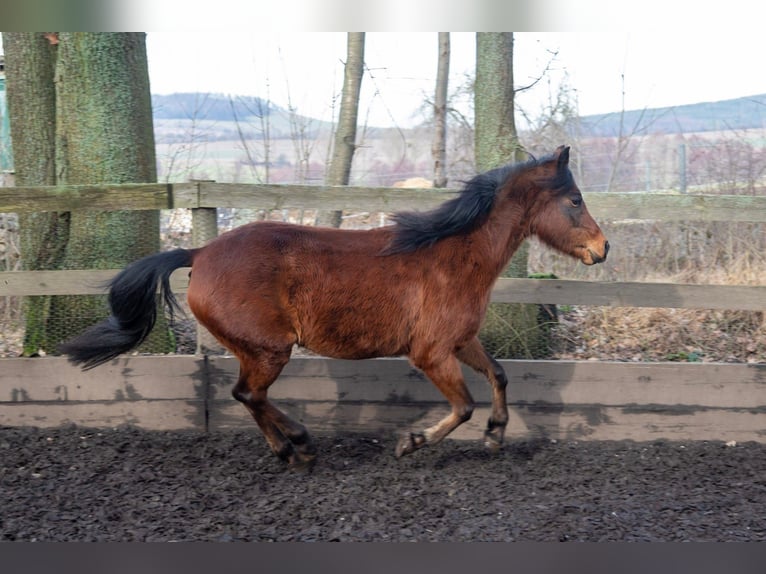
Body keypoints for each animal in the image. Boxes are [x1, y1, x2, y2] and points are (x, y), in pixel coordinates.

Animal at [60, 146, 612, 470]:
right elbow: (462, 406)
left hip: (256, 351)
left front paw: (496, 437)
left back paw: (289, 448)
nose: (603, 248)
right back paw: (300, 444)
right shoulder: (431, 353)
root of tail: (199, 253)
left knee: (246, 396)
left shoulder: (460, 341)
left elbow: (498, 375)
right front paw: (411, 442)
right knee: (248, 394)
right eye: (575, 199)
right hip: (269, 350)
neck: (455, 255)